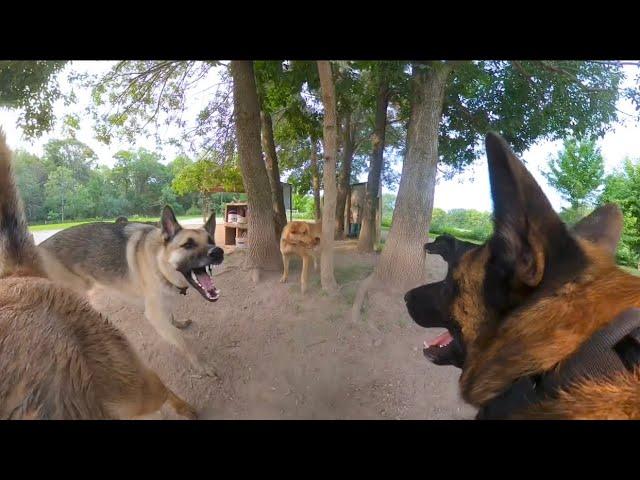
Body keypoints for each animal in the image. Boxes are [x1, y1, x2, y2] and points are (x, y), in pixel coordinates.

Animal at [38, 204, 225, 376]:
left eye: (211, 241)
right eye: (188, 245)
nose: (218, 251)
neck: (159, 260)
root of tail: (39, 246)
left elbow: (172, 319)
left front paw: (177, 323)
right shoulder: (155, 315)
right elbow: (183, 341)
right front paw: (201, 364)